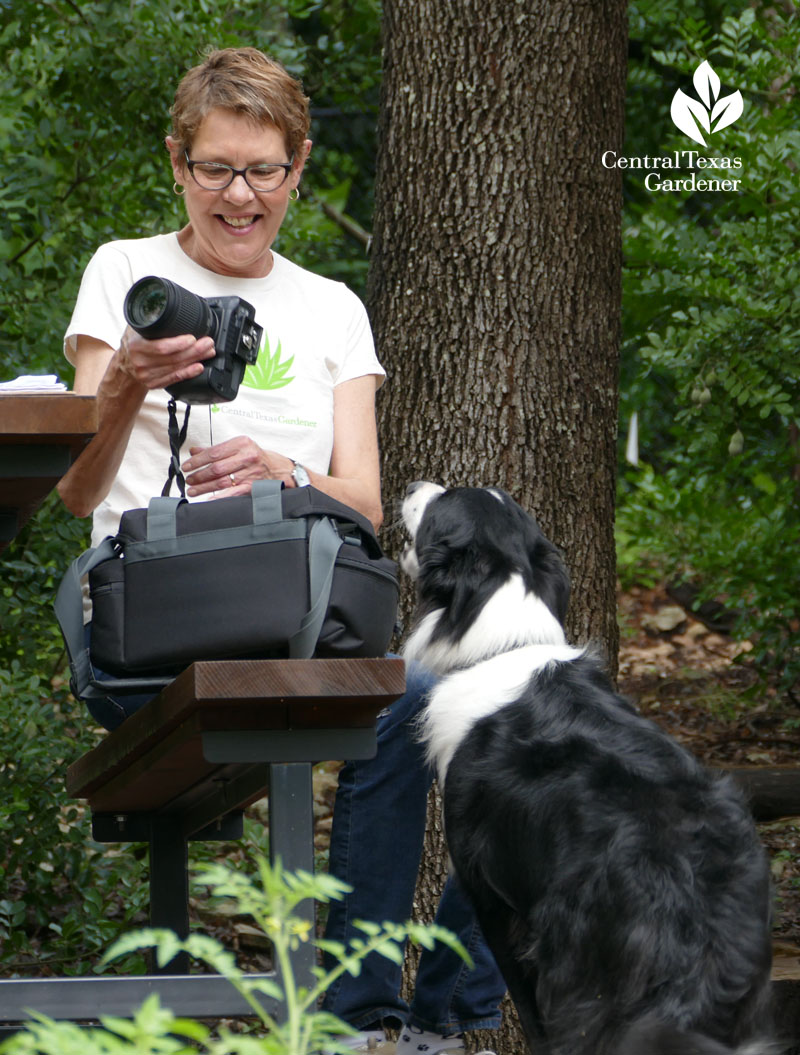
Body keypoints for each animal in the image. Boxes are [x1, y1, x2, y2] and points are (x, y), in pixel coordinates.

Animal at [403, 483, 781, 1055]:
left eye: (442, 502)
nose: (410, 488)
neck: (503, 642)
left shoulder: (488, 894)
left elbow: (530, 1015)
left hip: (582, 969)